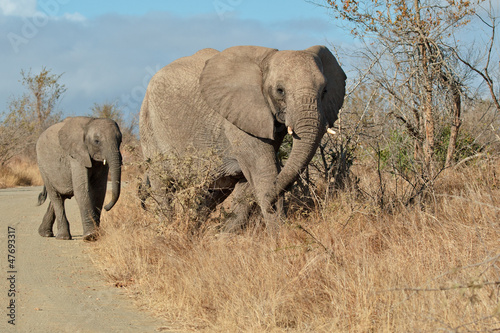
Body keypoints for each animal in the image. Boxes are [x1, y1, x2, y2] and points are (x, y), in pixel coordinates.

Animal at [139, 45, 346, 230]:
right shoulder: (238, 119)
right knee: (162, 186)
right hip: (148, 125)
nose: (273, 199)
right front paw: (282, 237)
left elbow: (249, 184)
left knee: (215, 193)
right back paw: (169, 230)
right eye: (280, 90)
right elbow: (263, 171)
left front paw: (221, 238)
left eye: (325, 91)